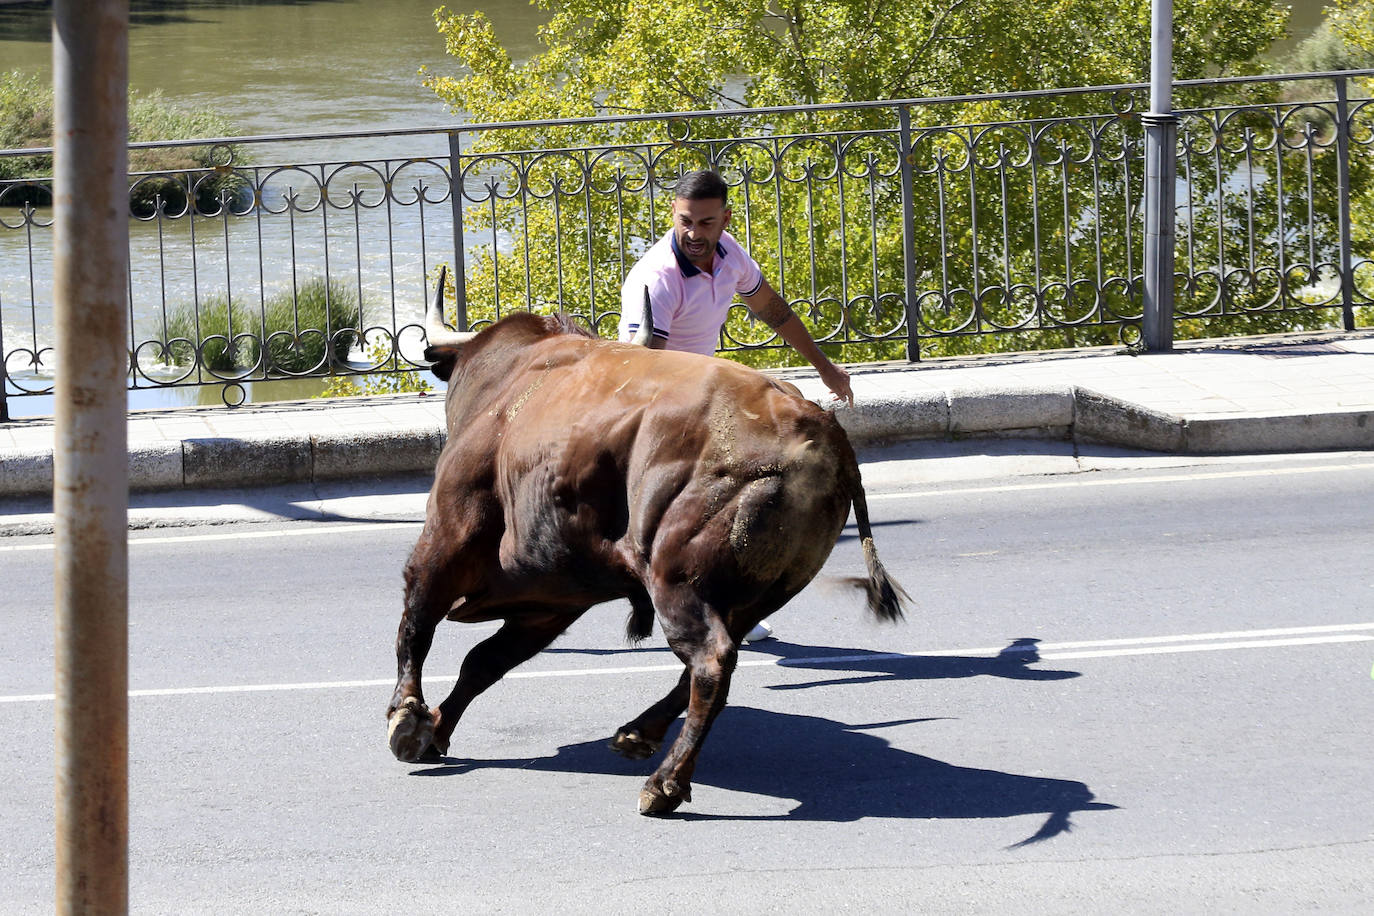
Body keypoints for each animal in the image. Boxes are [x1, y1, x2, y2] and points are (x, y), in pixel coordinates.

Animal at [387, 271, 906, 818]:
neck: (507, 385)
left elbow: (417, 625)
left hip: (676, 580)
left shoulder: (446, 539)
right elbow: (482, 661)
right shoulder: (550, 602)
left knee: (710, 662)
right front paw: (435, 729)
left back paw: (664, 783)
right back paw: (638, 734)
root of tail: (823, 433)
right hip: (757, 594)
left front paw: (406, 720)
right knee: (708, 665)